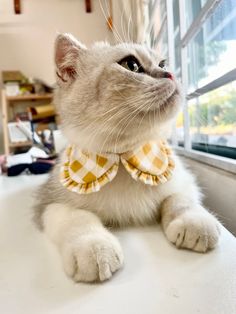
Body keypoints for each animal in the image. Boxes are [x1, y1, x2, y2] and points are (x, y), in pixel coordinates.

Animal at [33, 33, 221, 282]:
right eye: (131, 65)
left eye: (163, 64)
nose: (170, 74)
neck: (124, 158)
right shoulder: (48, 202)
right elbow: (77, 218)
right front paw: (93, 246)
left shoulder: (184, 180)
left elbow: (180, 199)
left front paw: (193, 222)